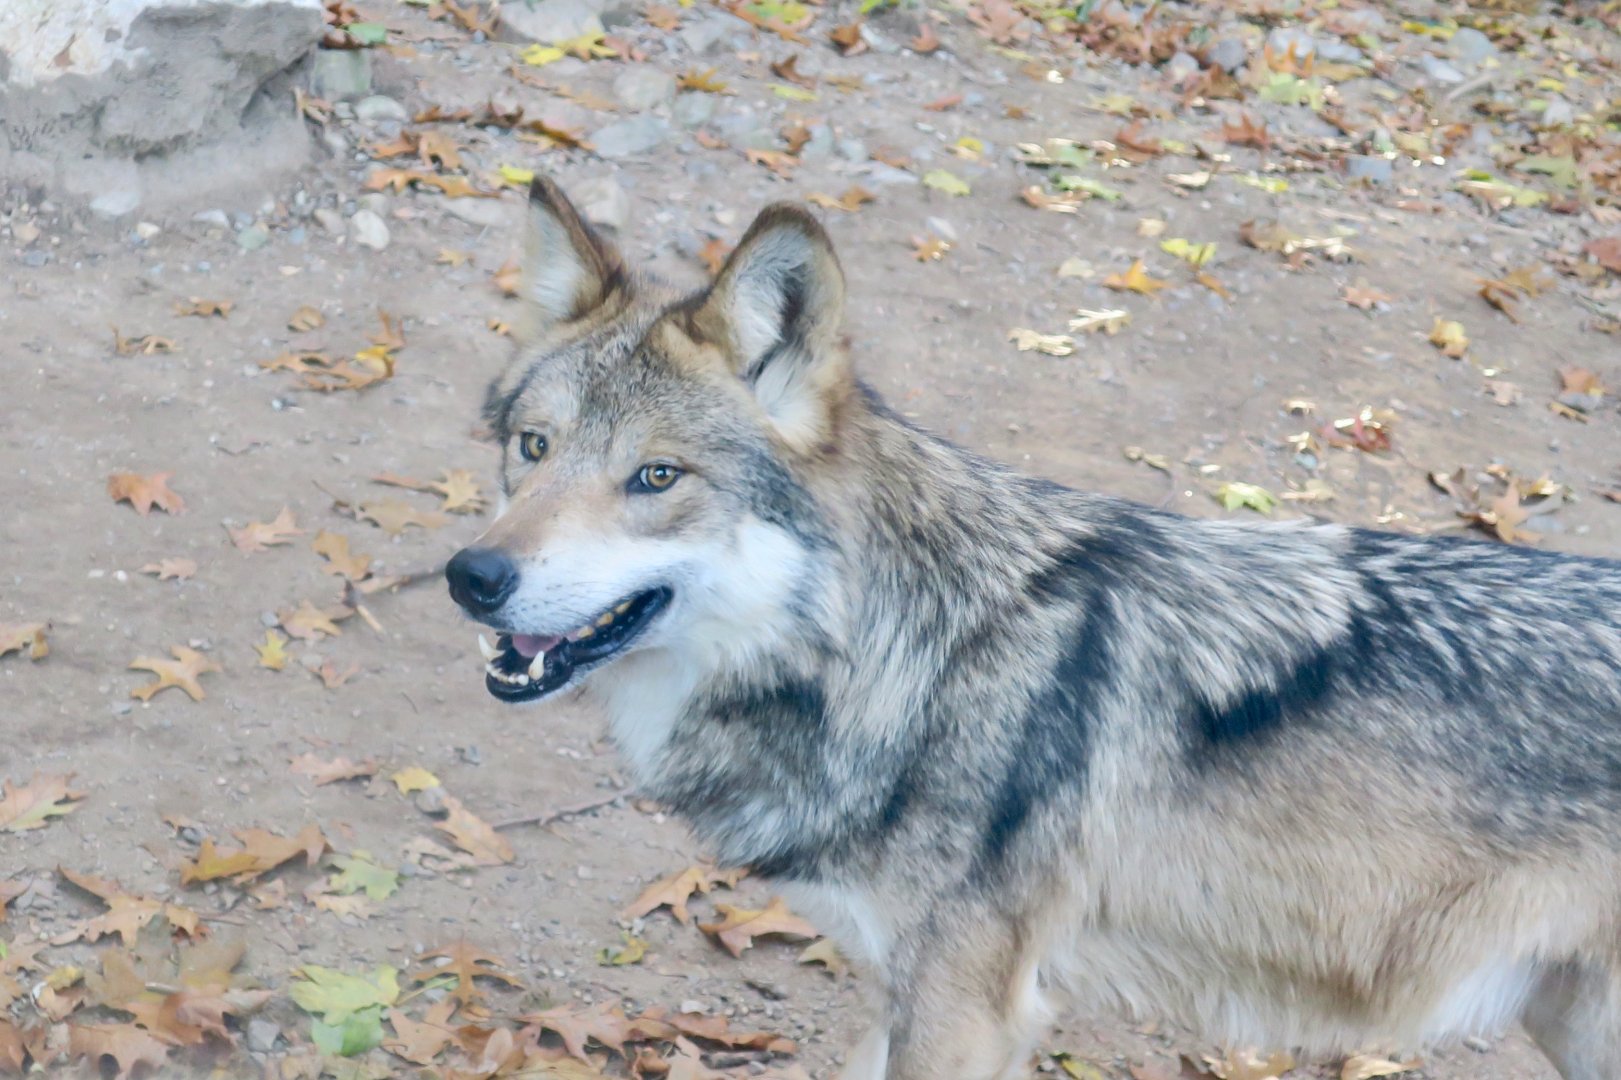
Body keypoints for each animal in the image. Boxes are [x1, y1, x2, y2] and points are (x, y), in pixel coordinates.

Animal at [445, 177, 1621, 1080]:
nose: (472, 577)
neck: (910, 665)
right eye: (532, 448)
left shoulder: (968, 1008)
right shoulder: (903, 994)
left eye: (655, 478)